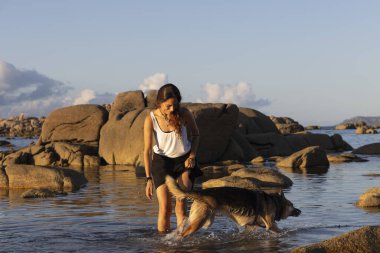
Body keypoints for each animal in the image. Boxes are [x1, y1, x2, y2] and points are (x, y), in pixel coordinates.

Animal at [165, 176, 302, 237]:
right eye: (291, 205)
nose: (300, 211)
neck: (275, 202)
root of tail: (201, 193)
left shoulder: (250, 226)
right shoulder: (271, 225)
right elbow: (281, 230)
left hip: (206, 221)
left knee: (183, 226)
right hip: (200, 221)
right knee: (183, 234)